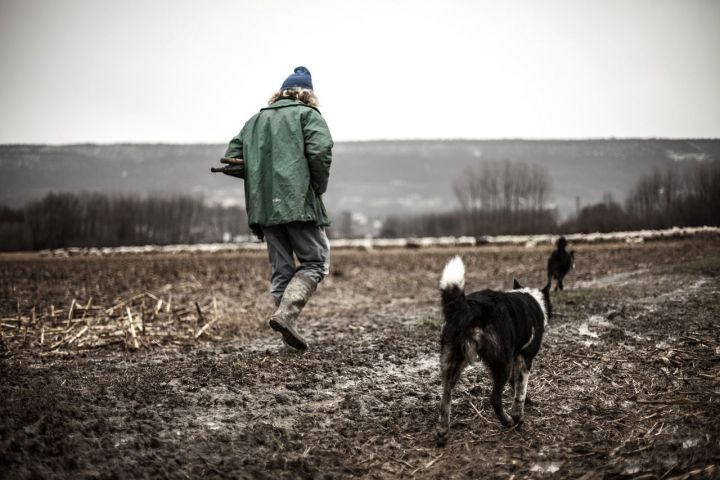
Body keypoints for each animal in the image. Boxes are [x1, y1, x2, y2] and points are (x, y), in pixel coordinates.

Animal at [434, 256, 552, 448]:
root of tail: (471, 307)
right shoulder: (524, 358)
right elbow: (520, 391)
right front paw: (518, 415)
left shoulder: (515, 358)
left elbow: (515, 385)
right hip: (501, 364)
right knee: (494, 398)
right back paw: (508, 421)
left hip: (452, 362)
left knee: (446, 396)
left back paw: (443, 432)